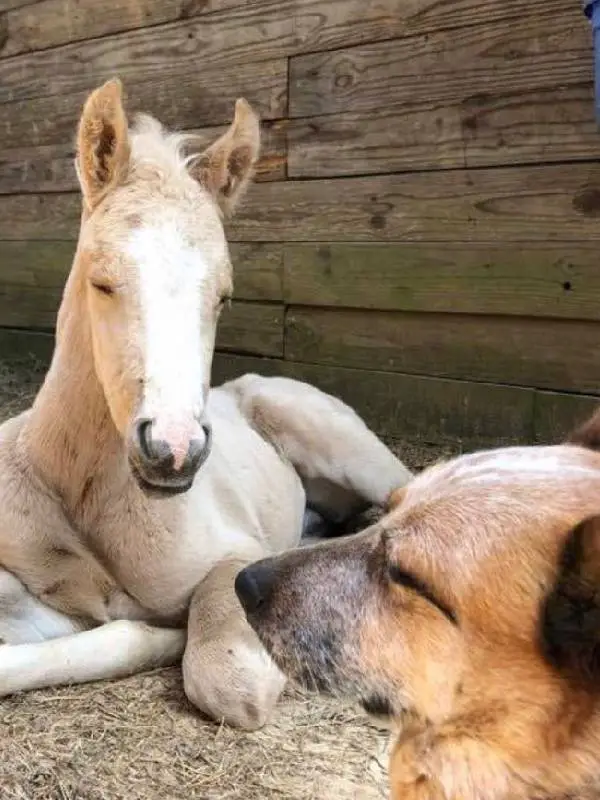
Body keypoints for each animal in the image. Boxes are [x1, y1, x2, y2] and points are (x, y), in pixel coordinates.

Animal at [0, 83, 410, 732]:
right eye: (101, 280)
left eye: (223, 295)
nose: (173, 450)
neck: (80, 497)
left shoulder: (230, 558)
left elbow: (228, 679)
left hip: (353, 450)